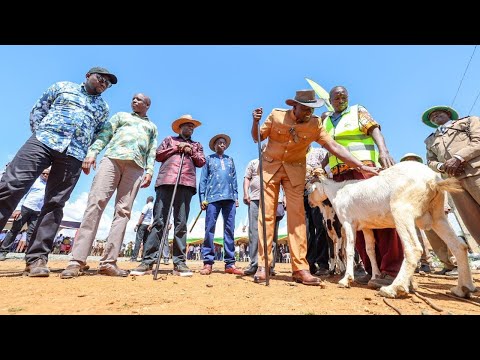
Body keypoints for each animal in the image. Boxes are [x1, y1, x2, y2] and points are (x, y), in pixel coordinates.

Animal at [308, 162, 476, 300]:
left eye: (310, 187)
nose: (309, 203)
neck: (338, 191)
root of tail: (434, 180)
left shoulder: (348, 223)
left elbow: (348, 250)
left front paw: (346, 279)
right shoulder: (367, 227)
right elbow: (370, 250)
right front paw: (374, 276)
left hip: (402, 211)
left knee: (413, 249)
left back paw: (394, 288)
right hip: (437, 216)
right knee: (459, 246)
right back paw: (463, 289)